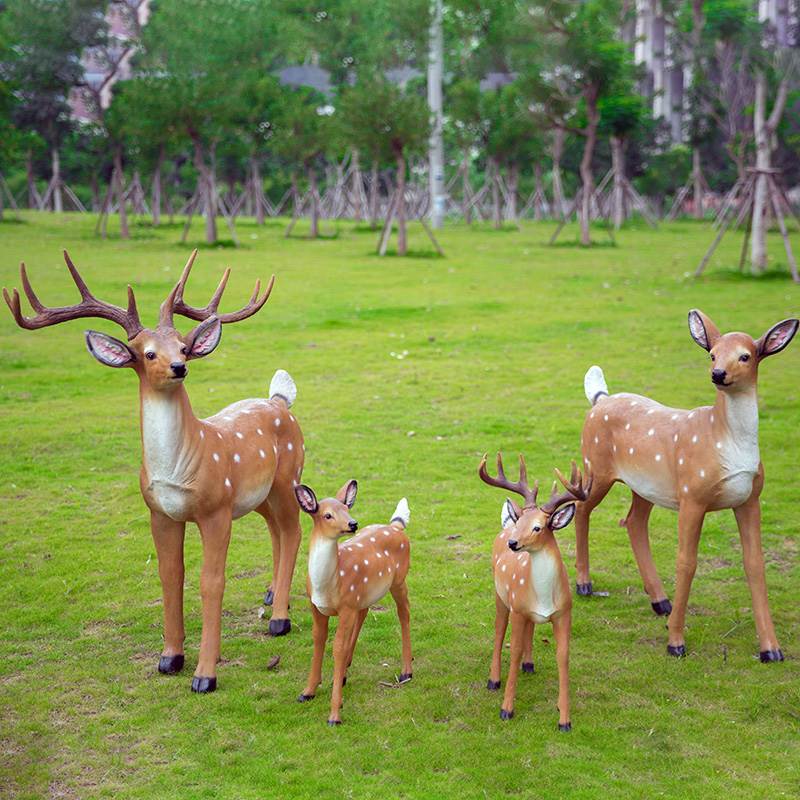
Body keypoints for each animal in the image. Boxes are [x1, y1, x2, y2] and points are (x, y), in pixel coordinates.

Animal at [3, 252, 304, 692]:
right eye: (145, 353)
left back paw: (280, 618)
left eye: (182, 345)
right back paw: (270, 596)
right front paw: (170, 658)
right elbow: (170, 576)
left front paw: (205, 675)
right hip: (259, 494)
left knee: (294, 531)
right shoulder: (159, 512)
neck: (183, 466)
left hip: (288, 478)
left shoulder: (215, 510)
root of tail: (280, 399)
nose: (179, 366)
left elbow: (211, 582)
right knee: (277, 532)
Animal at [478, 454, 592, 728]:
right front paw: (506, 709)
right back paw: (493, 680)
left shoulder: (565, 612)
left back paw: (529, 664)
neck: (545, 597)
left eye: (539, 527)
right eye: (521, 522)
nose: (513, 542)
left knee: (530, 628)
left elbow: (563, 656)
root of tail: (504, 526)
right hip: (501, 596)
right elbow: (513, 650)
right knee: (498, 633)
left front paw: (564, 718)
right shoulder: (518, 609)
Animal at [580, 310, 796, 660]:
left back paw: (660, 602)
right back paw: (584, 585)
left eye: (746, 356)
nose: (718, 373)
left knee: (633, 521)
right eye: (712, 354)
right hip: (595, 466)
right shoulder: (691, 496)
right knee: (581, 509)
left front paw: (771, 649)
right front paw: (675, 643)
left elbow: (755, 564)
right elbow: (686, 562)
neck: (726, 440)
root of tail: (600, 399)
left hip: (645, 485)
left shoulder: (750, 499)